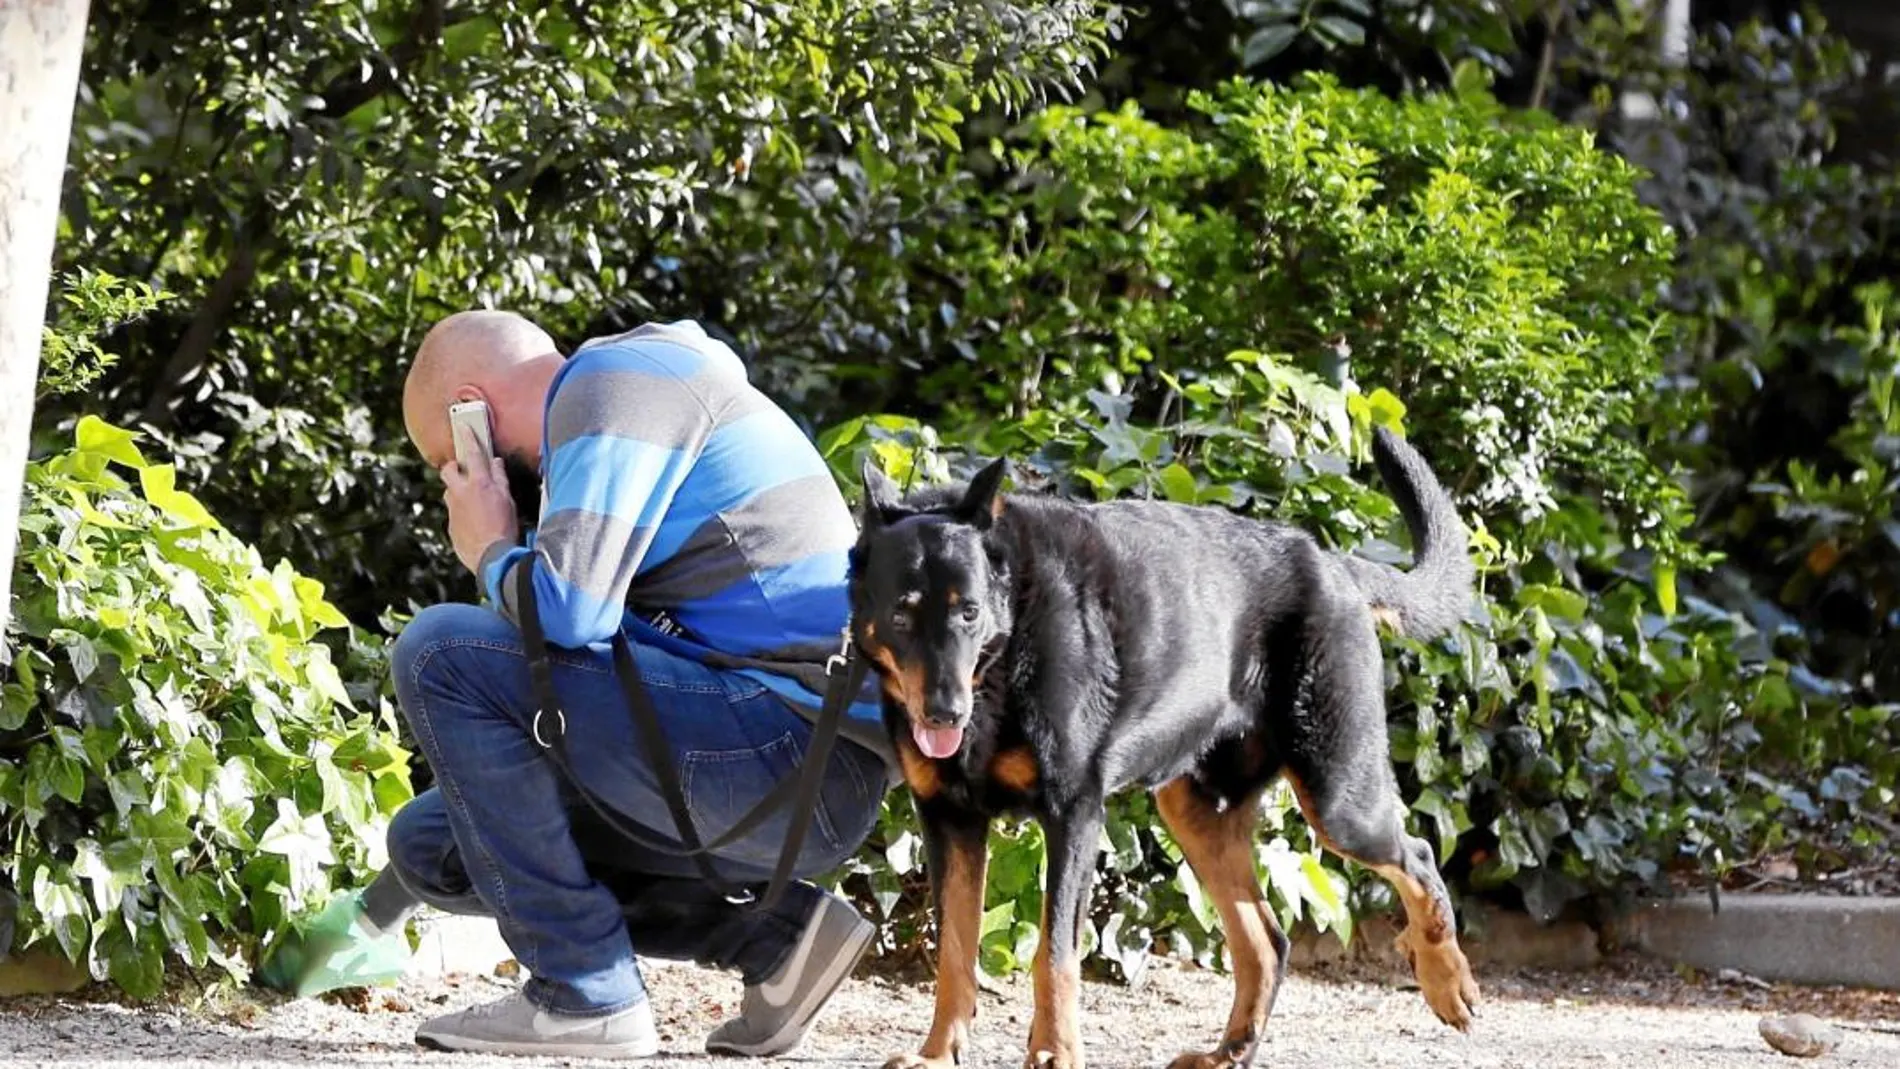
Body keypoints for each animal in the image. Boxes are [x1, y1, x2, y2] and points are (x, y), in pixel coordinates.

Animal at [847, 429, 1482, 1069]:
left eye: (970, 611)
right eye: (901, 613)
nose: (945, 714)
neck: (1005, 649)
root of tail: (1333, 565)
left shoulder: (1073, 814)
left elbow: (1055, 955)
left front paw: (1054, 1052)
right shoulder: (949, 821)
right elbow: (955, 947)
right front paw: (938, 1053)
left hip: (1338, 800)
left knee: (1417, 857)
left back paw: (1447, 981)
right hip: (1200, 812)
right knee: (1267, 941)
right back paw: (1229, 1052)